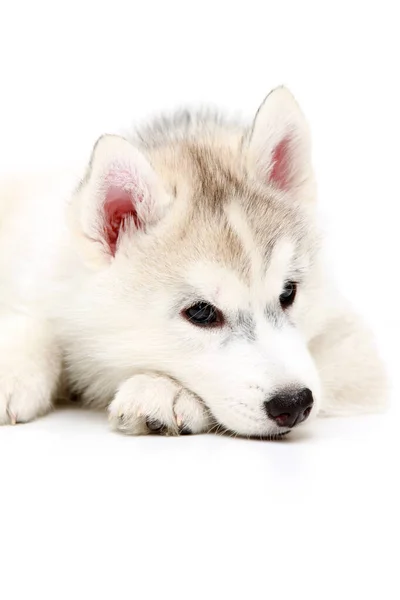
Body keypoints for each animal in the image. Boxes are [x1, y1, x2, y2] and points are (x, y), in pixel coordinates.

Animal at [0, 88, 388, 436]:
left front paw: (165, 390)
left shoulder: (354, 352)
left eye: (288, 292)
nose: (293, 403)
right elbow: (35, 321)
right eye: (201, 313)